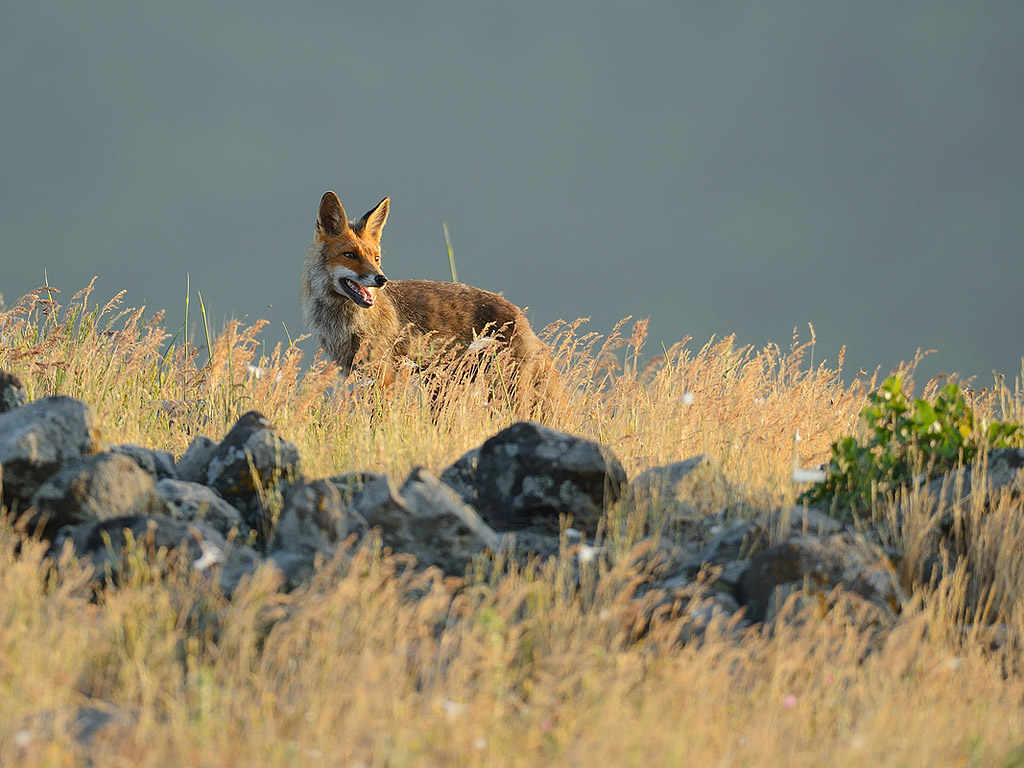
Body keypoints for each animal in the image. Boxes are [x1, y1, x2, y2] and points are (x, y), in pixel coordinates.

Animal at [301, 190, 561, 411]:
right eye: (350, 255)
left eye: (376, 258)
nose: (381, 279)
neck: (345, 322)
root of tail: (523, 319)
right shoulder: (359, 373)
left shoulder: (385, 375)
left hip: (503, 389)